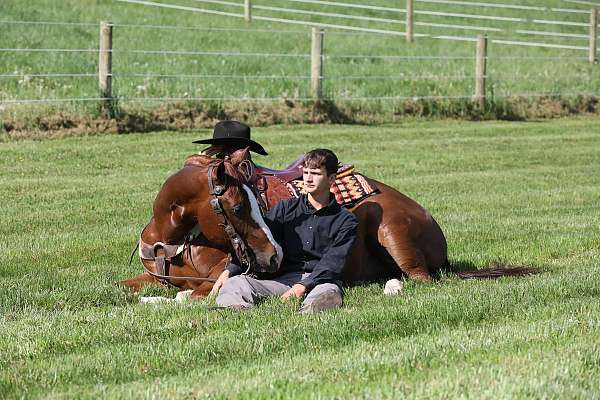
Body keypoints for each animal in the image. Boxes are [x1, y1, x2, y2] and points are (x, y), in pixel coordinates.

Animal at [119, 148, 532, 298]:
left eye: (249, 203)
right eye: (237, 207)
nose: (273, 257)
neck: (174, 241)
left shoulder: (216, 279)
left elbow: (187, 295)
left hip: (390, 228)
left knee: (421, 279)